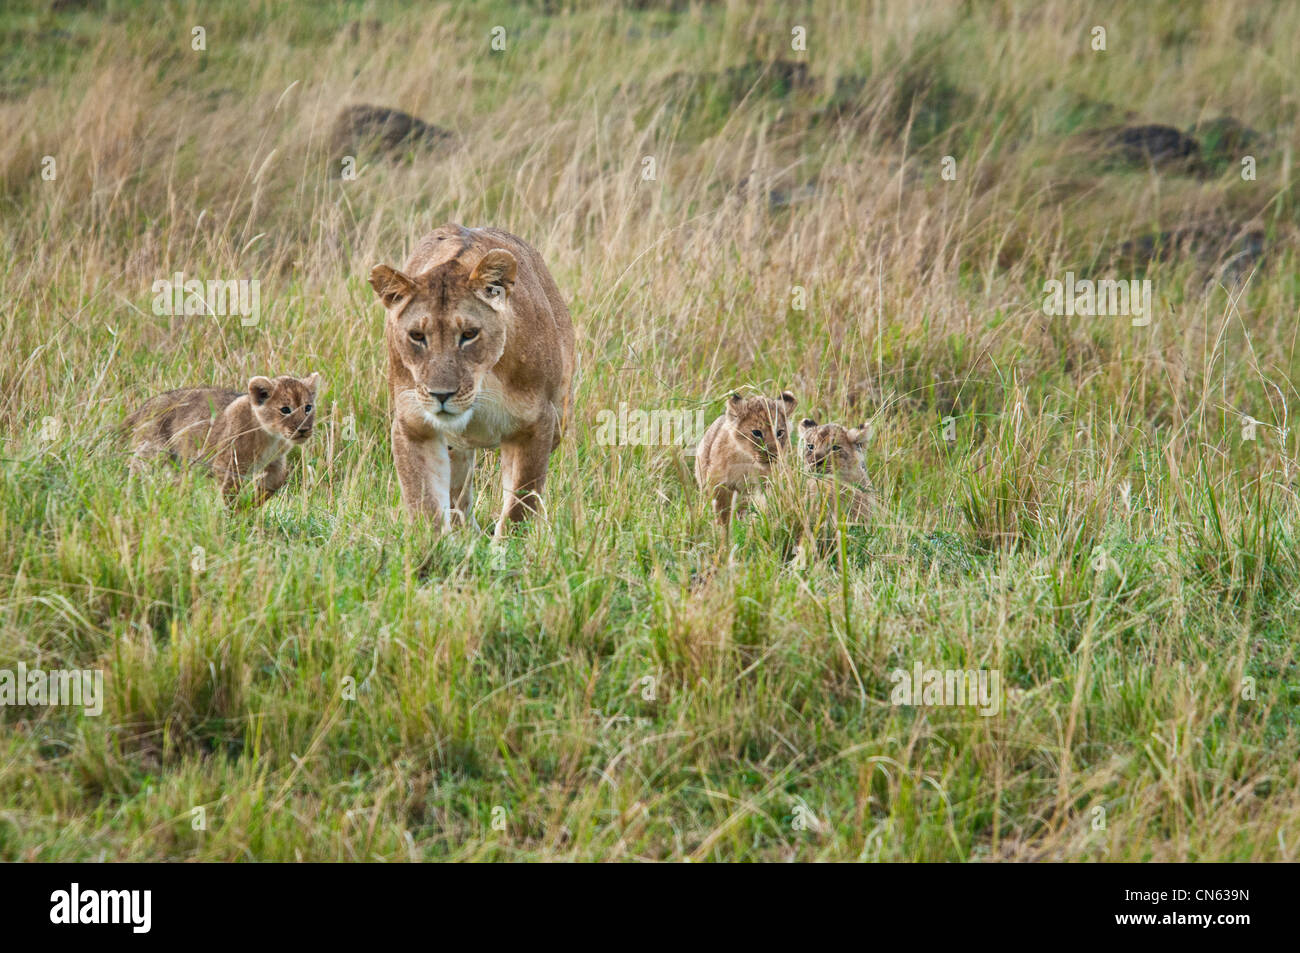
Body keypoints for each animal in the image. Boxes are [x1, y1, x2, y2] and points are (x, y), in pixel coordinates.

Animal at [368, 224, 575, 536]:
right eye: (417, 336)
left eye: (469, 334)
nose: (441, 394)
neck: (482, 387)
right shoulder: (413, 426)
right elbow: (424, 502)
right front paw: (436, 545)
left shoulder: (536, 424)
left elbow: (520, 503)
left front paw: (507, 546)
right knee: (458, 494)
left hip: (559, 417)